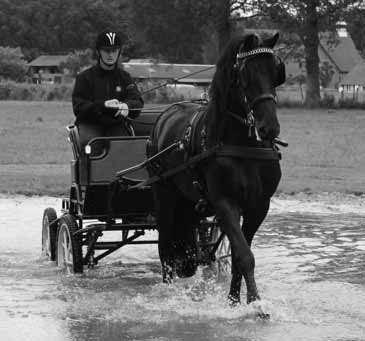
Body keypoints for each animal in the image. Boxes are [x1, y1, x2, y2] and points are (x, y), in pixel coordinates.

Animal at [146, 33, 282, 306]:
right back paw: (168, 293)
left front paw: (235, 301)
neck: (242, 144)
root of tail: (167, 113)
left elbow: (239, 255)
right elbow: (244, 255)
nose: (269, 128)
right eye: (245, 74)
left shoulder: (258, 206)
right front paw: (256, 304)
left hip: (188, 201)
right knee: (165, 246)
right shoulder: (225, 203)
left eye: (276, 72)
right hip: (164, 194)